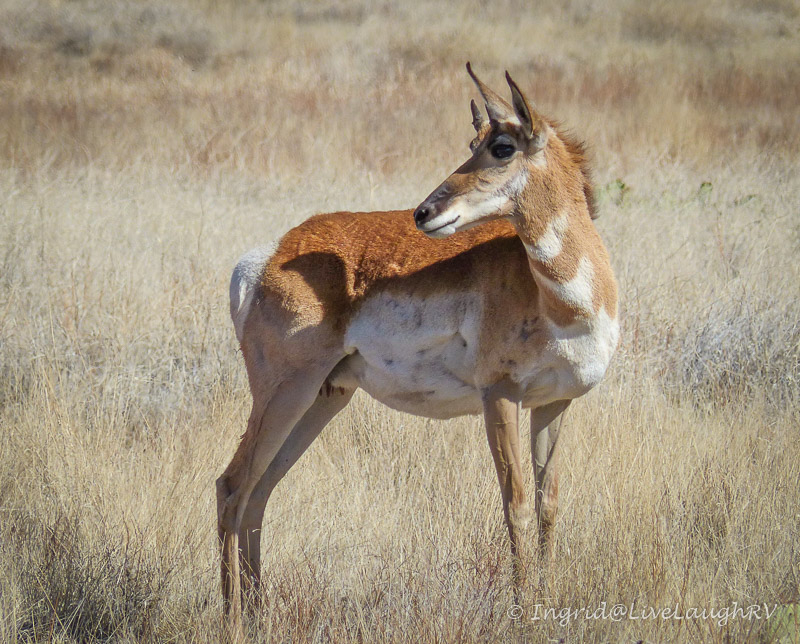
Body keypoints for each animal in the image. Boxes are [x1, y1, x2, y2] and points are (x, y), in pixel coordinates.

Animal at [217, 63, 619, 628]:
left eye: (501, 146)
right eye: (472, 142)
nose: (424, 212)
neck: (559, 298)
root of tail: (267, 255)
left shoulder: (554, 404)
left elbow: (548, 506)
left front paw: (549, 603)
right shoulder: (500, 397)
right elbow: (515, 503)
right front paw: (523, 614)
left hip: (323, 399)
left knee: (260, 491)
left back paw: (258, 614)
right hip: (283, 396)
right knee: (232, 487)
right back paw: (232, 619)